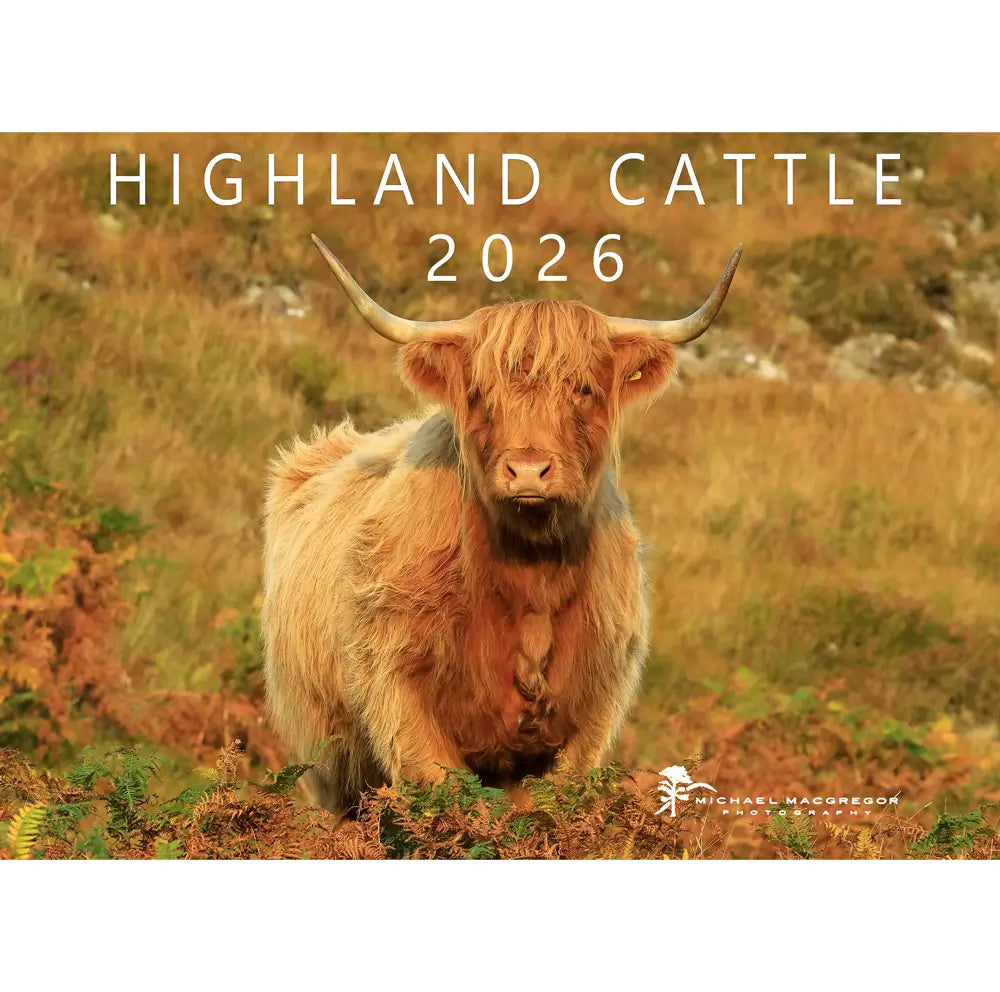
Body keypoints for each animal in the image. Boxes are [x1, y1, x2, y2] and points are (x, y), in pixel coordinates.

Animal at [261, 234, 742, 816]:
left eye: (583, 389)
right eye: (480, 394)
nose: (528, 469)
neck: (529, 571)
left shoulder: (589, 714)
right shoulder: (400, 691)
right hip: (330, 762)